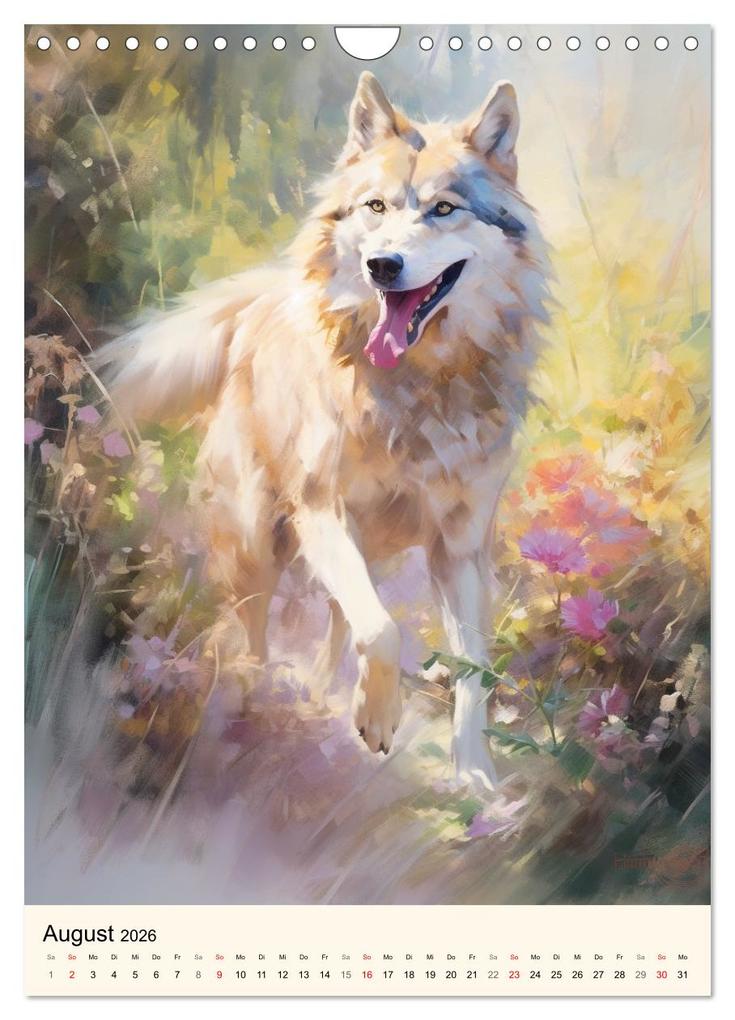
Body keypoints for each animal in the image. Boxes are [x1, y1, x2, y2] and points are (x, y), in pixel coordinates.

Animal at [103, 73, 549, 788]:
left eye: (444, 209)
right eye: (376, 206)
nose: (383, 266)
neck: (417, 392)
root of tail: (260, 306)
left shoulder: (460, 549)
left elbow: (470, 670)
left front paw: (476, 776)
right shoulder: (321, 513)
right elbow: (384, 633)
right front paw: (378, 719)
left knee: (341, 622)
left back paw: (321, 698)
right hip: (258, 541)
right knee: (257, 633)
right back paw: (255, 707)